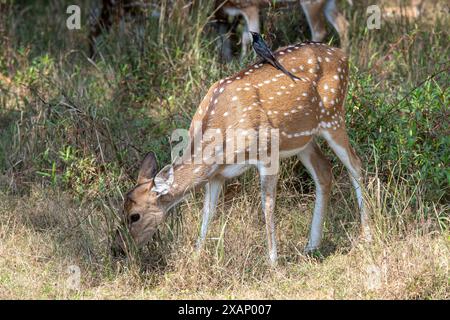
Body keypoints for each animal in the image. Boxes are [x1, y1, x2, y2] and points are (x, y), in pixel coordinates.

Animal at [114, 41, 370, 264]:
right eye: (120, 210)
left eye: (134, 215)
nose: (119, 249)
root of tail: (343, 55)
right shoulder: (216, 174)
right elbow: (208, 212)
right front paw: (196, 256)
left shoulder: (267, 152)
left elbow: (267, 205)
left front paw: (272, 261)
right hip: (303, 139)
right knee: (324, 171)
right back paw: (312, 245)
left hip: (333, 116)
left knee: (356, 164)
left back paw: (366, 235)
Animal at [215, 0, 352, 61]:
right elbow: (246, 37)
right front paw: (241, 61)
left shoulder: (251, 6)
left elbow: (252, 34)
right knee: (343, 24)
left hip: (312, 3)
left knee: (319, 30)